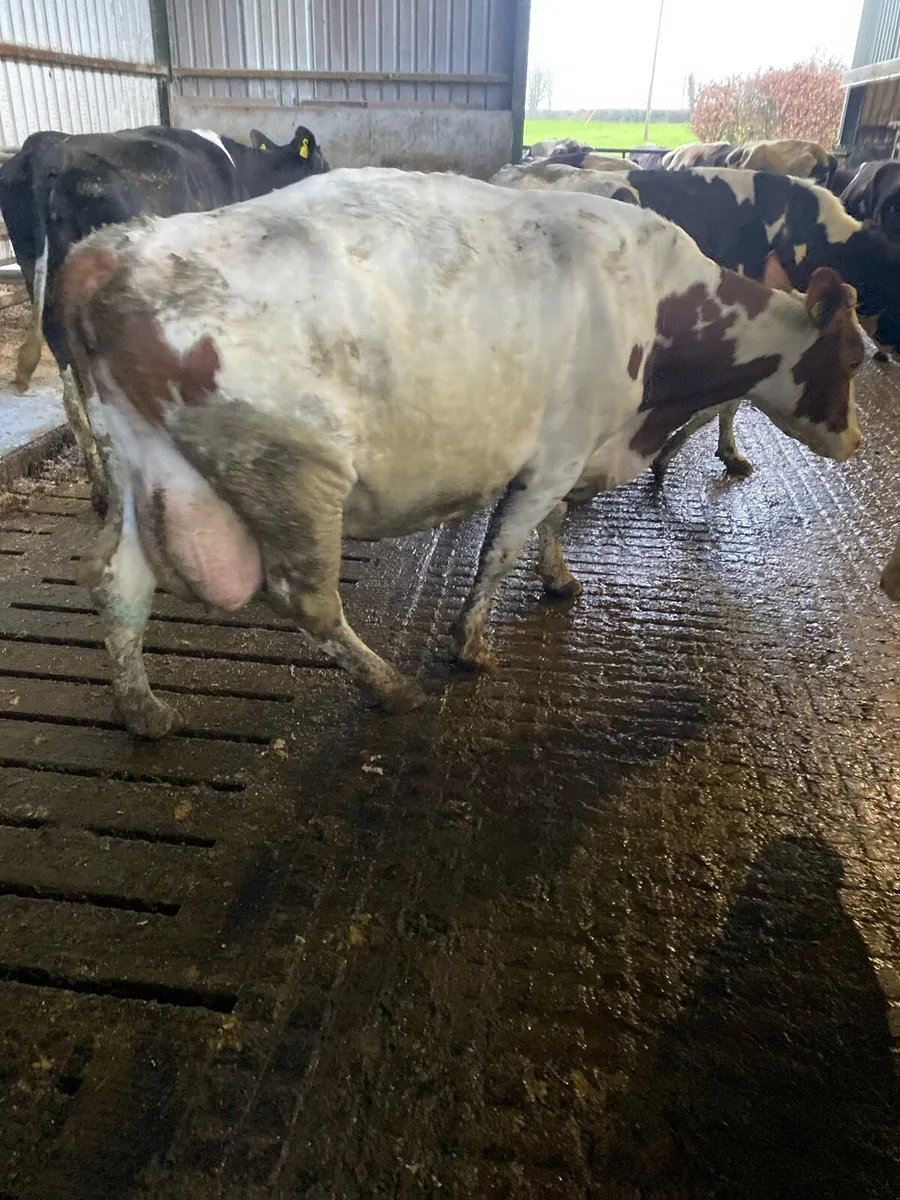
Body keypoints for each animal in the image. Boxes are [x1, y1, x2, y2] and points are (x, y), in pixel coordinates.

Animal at [59, 167, 862, 739]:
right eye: (854, 355)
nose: (855, 441)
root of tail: (112, 250)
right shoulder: (558, 451)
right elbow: (503, 547)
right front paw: (470, 643)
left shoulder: (566, 451)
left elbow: (546, 527)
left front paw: (559, 578)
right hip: (290, 471)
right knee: (305, 599)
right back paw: (389, 687)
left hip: (139, 460)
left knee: (118, 579)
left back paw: (143, 710)